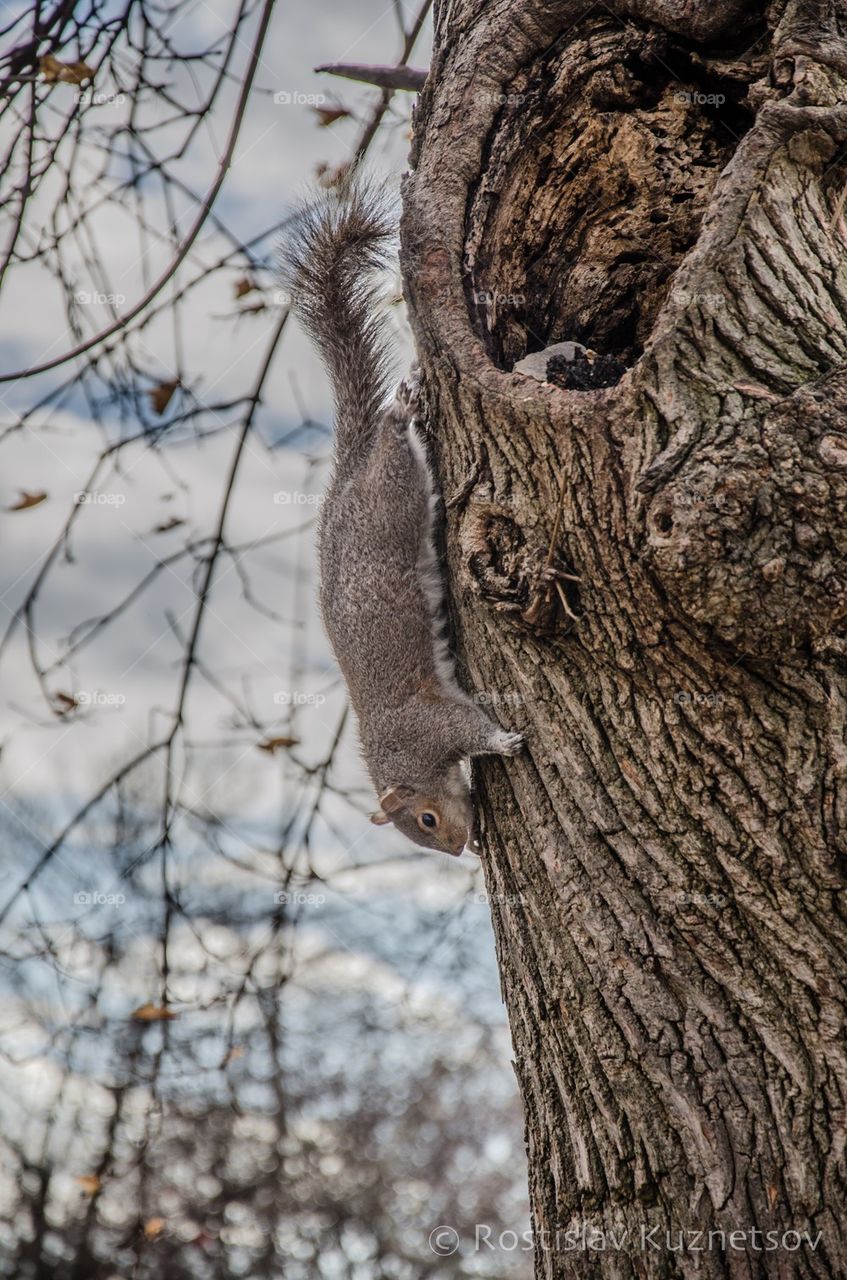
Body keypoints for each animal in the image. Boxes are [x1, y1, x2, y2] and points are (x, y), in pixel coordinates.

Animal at [279, 180, 523, 856]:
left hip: (394, 493)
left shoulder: (431, 722)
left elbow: (473, 729)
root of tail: (351, 465)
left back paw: (405, 405)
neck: (404, 756)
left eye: (427, 820)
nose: (462, 848)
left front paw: (505, 740)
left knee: (395, 437)